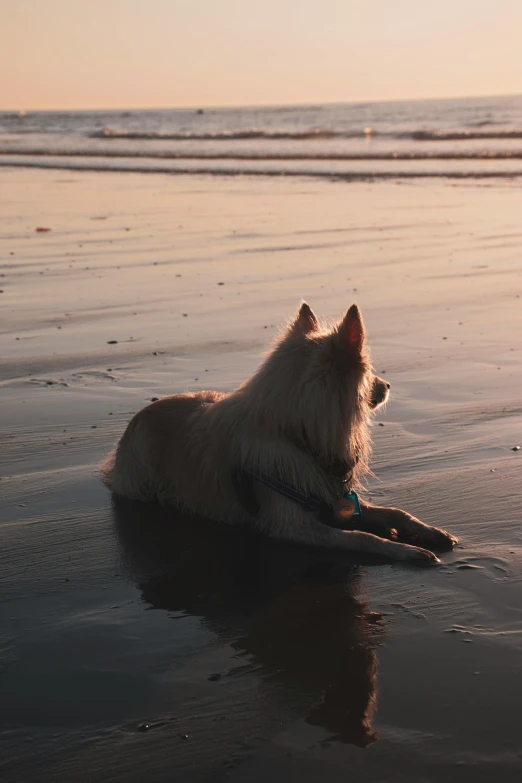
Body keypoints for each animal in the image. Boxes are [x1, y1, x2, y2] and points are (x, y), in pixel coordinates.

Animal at [100, 302, 456, 564]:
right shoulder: (293, 526)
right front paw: (404, 549)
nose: (389, 385)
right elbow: (361, 536)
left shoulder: (332, 497)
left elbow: (395, 511)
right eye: (370, 374)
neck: (296, 435)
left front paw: (427, 531)